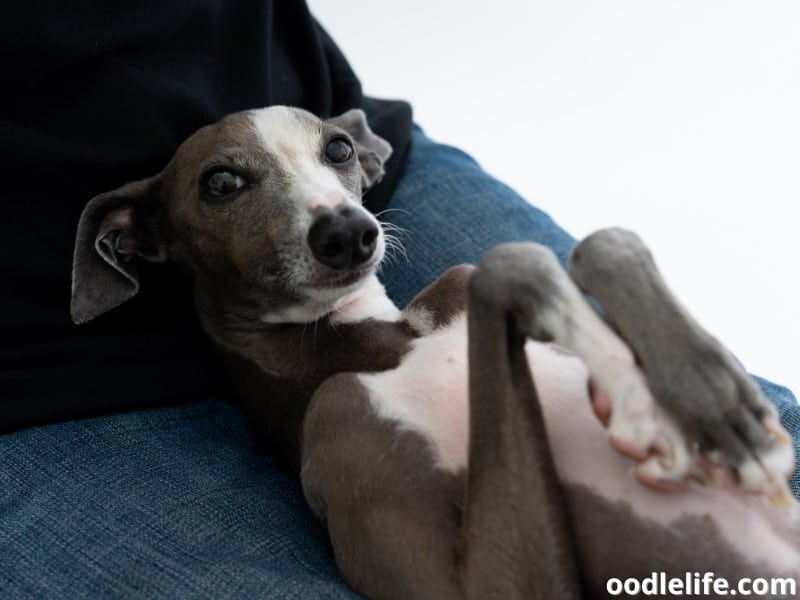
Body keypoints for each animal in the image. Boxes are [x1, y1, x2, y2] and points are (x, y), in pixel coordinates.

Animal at [72, 105, 796, 596]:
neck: (381, 342)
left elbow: (595, 244)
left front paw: (718, 410)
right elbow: (513, 258)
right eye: (220, 183)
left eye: (338, 149)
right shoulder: (457, 566)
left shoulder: (457, 286)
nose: (349, 233)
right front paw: (647, 405)